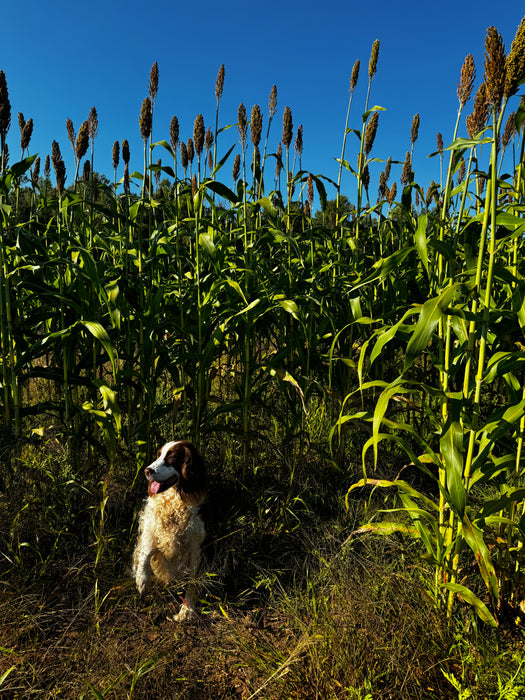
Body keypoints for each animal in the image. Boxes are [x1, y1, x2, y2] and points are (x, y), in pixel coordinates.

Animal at [132, 440, 208, 620]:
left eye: (172, 457)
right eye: (158, 455)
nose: (147, 471)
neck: (174, 497)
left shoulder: (196, 546)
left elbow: (192, 583)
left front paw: (187, 610)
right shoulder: (151, 525)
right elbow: (146, 553)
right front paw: (141, 579)